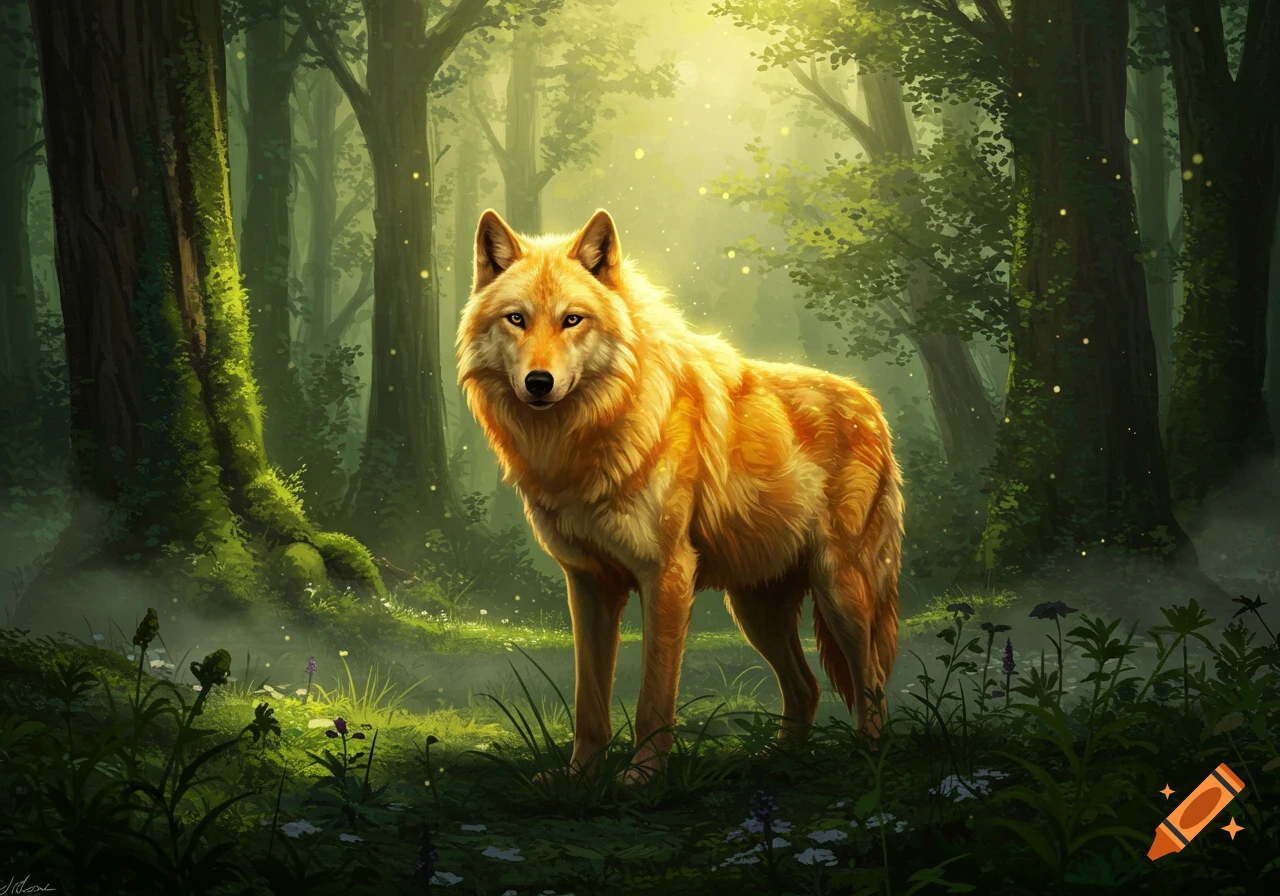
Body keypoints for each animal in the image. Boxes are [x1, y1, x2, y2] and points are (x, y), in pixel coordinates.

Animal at [457, 208, 904, 783]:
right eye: (516, 319)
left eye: (572, 320)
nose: (539, 382)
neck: (590, 434)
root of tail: (871, 405)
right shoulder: (588, 584)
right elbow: (589, 701)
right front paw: (580, 777)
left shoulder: (667, 574)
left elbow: (654, 699)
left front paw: (641, 780)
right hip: (755, 610)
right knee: (807, 687)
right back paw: (774, 763)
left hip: (840, 591)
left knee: (872, 681)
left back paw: (867, 762)